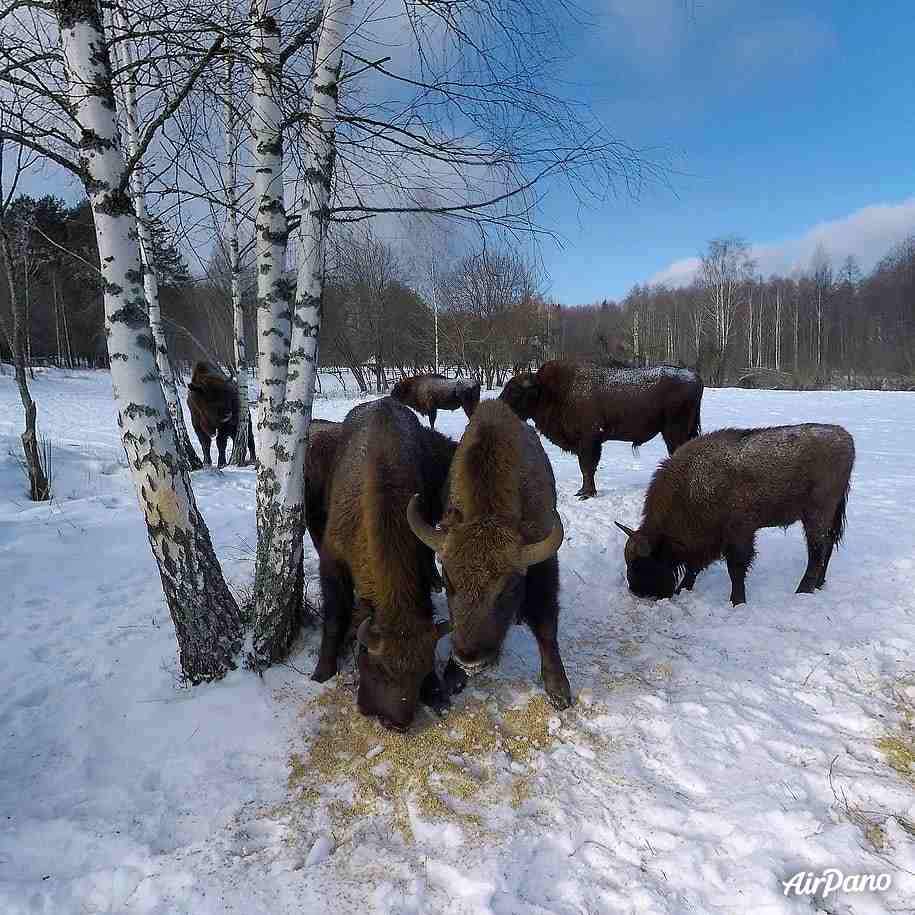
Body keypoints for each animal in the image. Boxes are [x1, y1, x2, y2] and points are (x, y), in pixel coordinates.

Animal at [312, 398, 458, 732]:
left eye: (422, 671)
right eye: (378, 669)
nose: (396, 722)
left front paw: (436, 691)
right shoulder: (332, 562)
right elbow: (335, 617)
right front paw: (322, 671)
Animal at [408, 398, 572, 708]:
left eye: (508, 590)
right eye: (448, 582)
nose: (469, 660)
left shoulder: (544, 567)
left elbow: (547, 626)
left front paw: (559, 691)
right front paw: (453, 676)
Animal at [498, 360, 704, 500]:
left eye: (515, 391)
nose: (498, 406)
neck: (552, 391)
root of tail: (695, 377)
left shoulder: (589, 440)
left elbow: (587, 467)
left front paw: (587, 494)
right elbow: (585, 468)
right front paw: (582, 491)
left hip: (674, 432)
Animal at [620, 424, 856, 608]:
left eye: (642, 564)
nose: (637, 592)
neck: (689, 486)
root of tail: (845, 437)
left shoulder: (738, 533)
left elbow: (735, 568)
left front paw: (737, 602)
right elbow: (695, 566)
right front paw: (683, 588)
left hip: (816, 515)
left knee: (817, 551)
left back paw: (803, 591)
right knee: (827, 547)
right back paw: (818, 585)